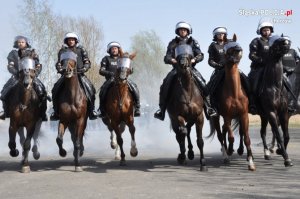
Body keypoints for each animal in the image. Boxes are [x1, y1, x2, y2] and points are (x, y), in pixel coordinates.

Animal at [166, 43, 206, 171]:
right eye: (177, 56)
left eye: (189, 55)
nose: (183, 64)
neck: (188, 91)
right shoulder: (178, 116)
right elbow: (181, 134)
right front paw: (182, 156)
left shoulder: (199, 117)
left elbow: (200, 140)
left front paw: (203, 163)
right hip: (174, 120)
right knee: (180, 134)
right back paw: (183, 155)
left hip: (191, 119)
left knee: (187, 130)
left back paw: (190, 153)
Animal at [209, 34, 255, 171]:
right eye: (227, 48)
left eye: (237, 44)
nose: (238, 51)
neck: (234, 91)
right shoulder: (227, 115)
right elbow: (231, 137)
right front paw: (230, 150)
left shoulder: (243, 115)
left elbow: (246, 138)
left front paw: (251, 162)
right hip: (216, 117)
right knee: (221, 134)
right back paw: (225, 154)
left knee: (226, 131)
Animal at [255, 35, 292, 166]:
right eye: (276, 42)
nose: (287, 42)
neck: (275, 86)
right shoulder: (271, 112)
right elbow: (278, 135)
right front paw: (286, 158)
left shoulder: (283, 112)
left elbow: (286, 135)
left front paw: (280, 151)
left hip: (263, 115)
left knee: (262, 132)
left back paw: (267, 153)